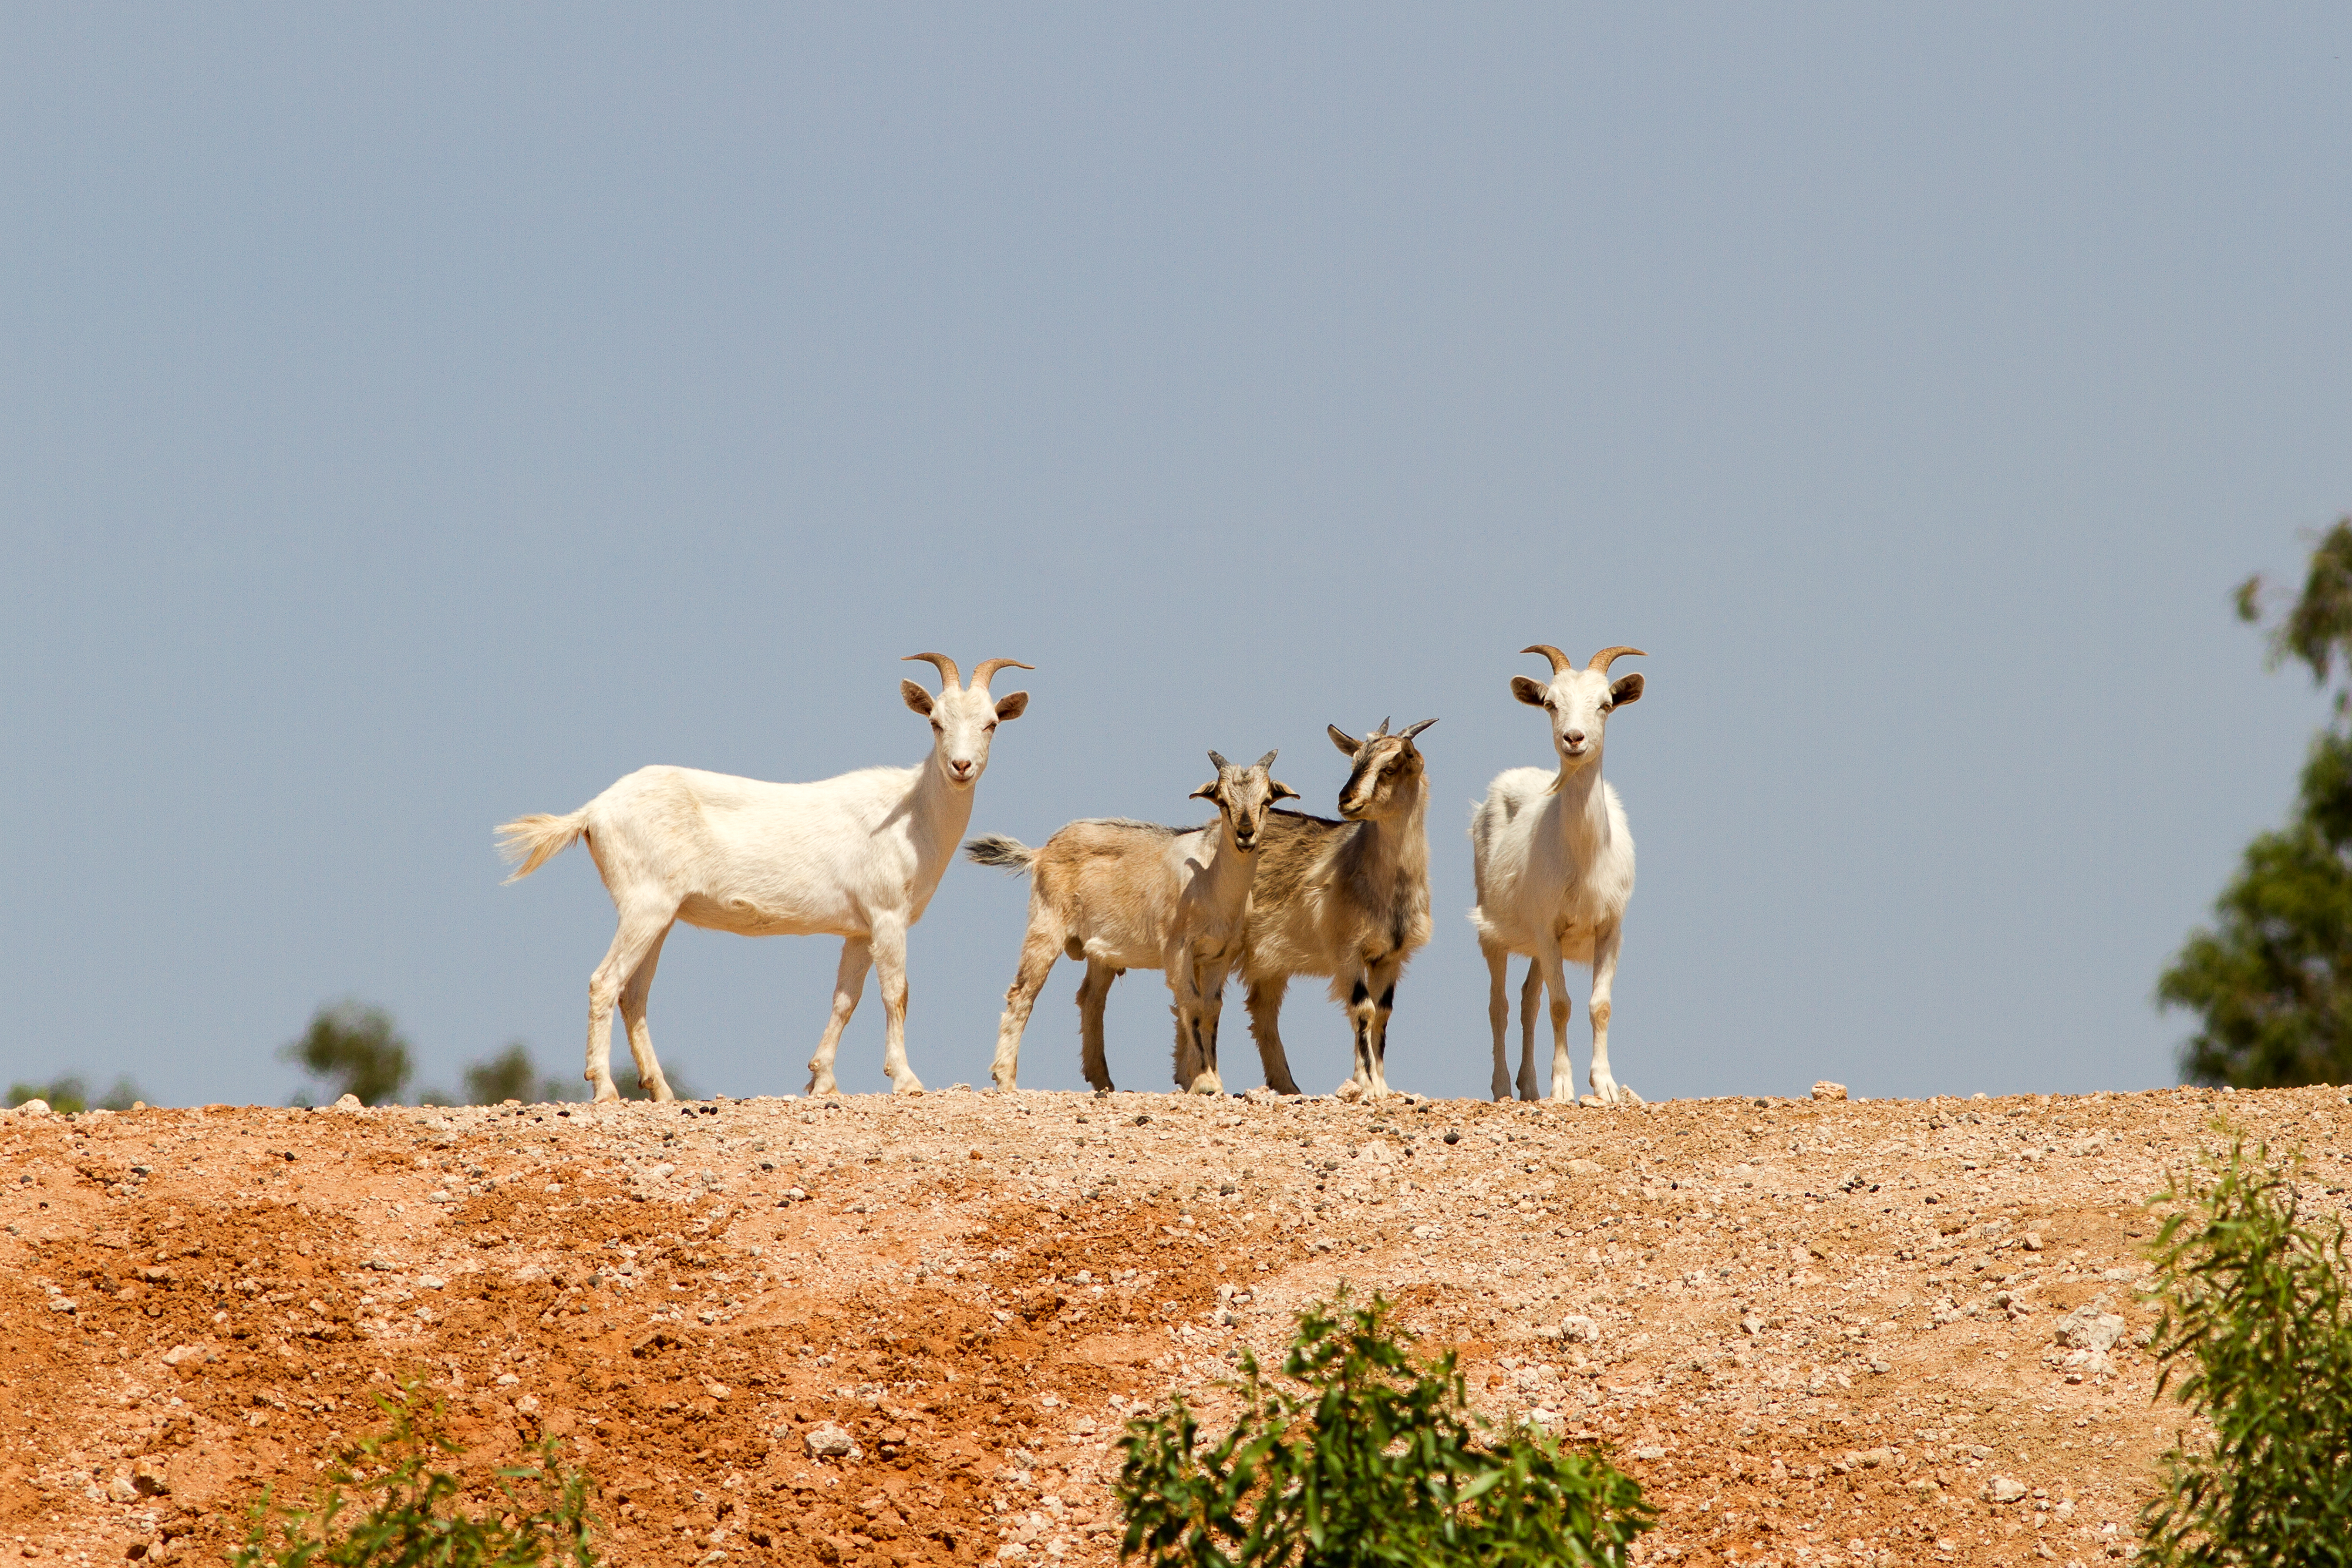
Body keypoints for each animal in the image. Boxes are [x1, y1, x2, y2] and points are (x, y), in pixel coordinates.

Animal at [495, 653, 1031, 1101]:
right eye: (936, 722)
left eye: (991, 723)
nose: (961, 766)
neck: (911, 811)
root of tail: (594, 811)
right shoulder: (887, 916)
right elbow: (895, 994)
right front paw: (907, 1080)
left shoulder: (859, 930)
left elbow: (845, 1000)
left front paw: (822, 1080)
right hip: (645, 905)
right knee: (604, 983)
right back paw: (605, 1089)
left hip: (659, 915)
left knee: (635, 993)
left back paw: (663, 1091)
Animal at [965, 751, 1293, 1095]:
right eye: (1223, 801)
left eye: (1266, 800)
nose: (1245, 833)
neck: (1210, 879)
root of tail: (1041, 852)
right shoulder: (1177, 950)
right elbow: (1192, 1004)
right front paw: (1205, 1082)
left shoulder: (1220, 956)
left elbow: (1211, 1008)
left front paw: (1212, 1079)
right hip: (1046, 926)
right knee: (1023, 994)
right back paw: (1006, 1079)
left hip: (1100, 951)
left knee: (1091, 999)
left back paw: (1103, 1081)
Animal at [1236, 718, 1436, 1100]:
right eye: (1354, 762)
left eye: (1390, 767)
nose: (1346, 800)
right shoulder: (1347, 950)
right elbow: (1363, 1009)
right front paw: (1367, 1084)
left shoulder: (1391, 956)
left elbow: (1383, 1012)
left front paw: (1383, 1084)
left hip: (1268, 962)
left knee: (1263, 1013)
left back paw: (1287, 1086)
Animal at [1468, 644, 1645, 1105]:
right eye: (1550, 703)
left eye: (1605, 704)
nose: (1574, 739)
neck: (1584, 859)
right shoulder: (1548, 927)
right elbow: (1561, 1004)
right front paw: (1563, 1086)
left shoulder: (1608, 929)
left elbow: (1599, 1005)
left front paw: (1605, 1086)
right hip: (1495, 930)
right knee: (1499, 1005)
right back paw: (1502, 1088)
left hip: (1536, 945)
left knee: (1528, 1000)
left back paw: (1528, 1086)